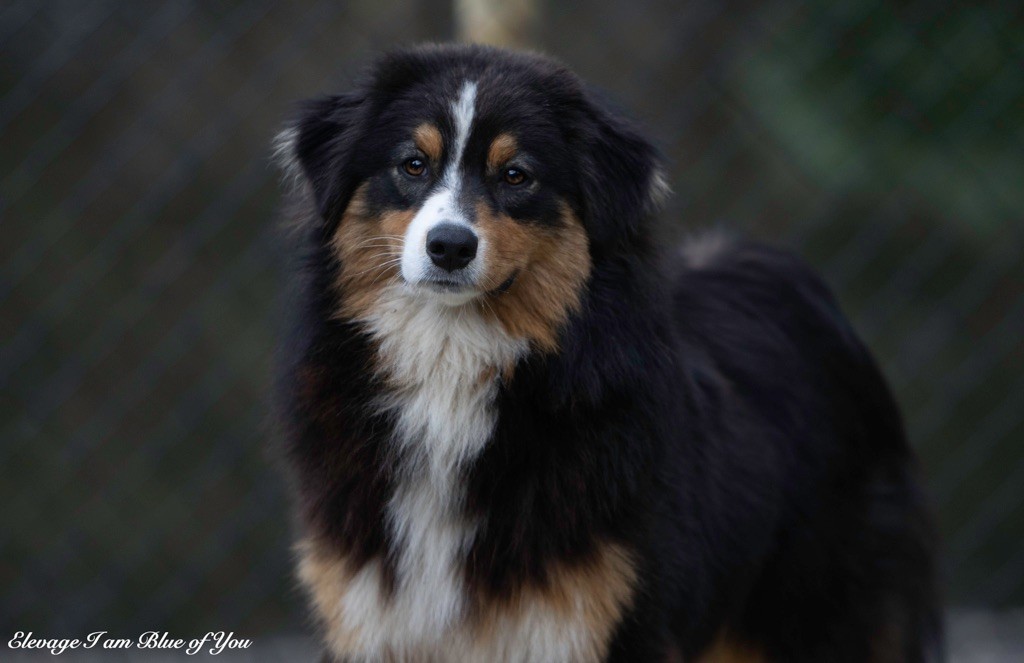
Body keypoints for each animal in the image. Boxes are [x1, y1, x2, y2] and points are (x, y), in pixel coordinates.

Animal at [274, 44, 942, 659]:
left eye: (516, 175)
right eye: (412, 164)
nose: (450, 247)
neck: (453, 358)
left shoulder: (610, 617)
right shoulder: (372, 615)